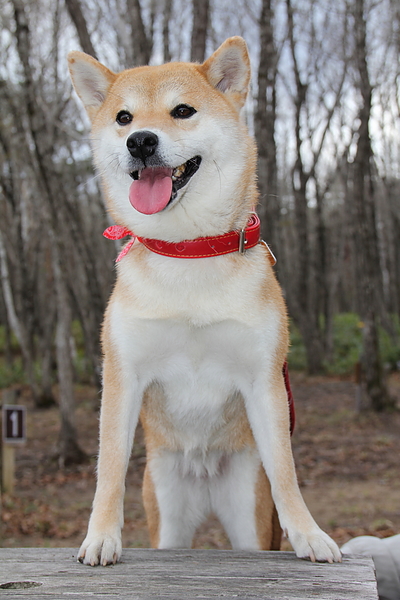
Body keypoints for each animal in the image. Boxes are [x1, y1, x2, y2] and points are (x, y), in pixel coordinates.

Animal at [68, 37, 340, 568]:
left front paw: (308, 533)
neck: (188, 251)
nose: (141, 142)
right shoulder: (122, 374)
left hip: (248, 511)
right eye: (124, 118)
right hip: (168, 512)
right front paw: (101, 536)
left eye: (183, 111)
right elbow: (108, 467)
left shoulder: (264, 380)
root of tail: (204, 475)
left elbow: (286, 470)